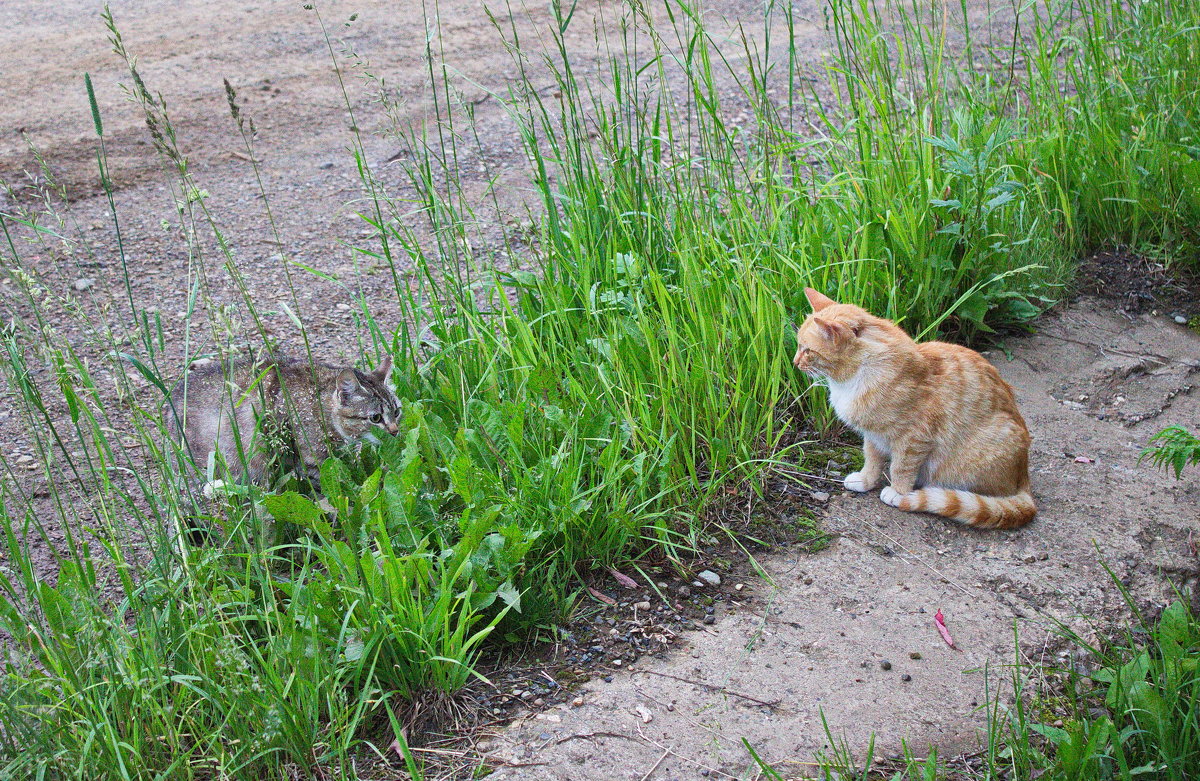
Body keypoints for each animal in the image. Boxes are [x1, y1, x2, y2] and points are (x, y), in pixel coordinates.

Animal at [792, 289, 1036, 532]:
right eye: (798, 346)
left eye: (808, 350)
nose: (795, 363)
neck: (854, 379)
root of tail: (1023, 475)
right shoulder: (873, 436)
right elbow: (871, 460)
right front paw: (865, 480)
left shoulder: (914, 440)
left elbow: (901, 468)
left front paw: (898, 492)